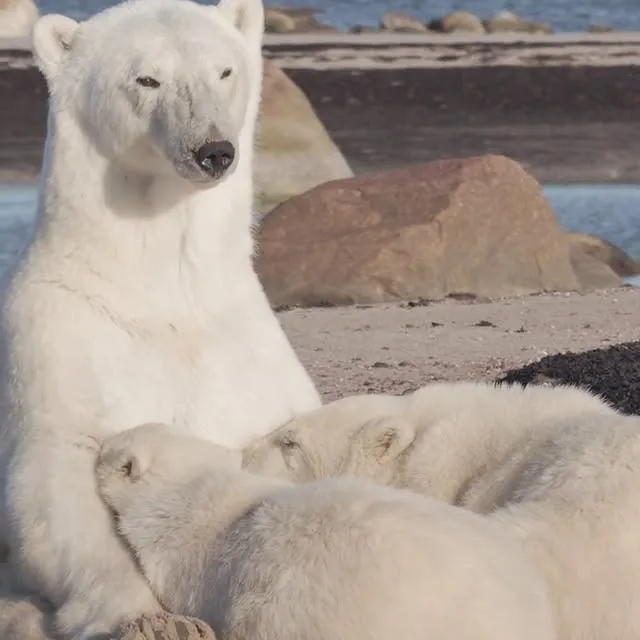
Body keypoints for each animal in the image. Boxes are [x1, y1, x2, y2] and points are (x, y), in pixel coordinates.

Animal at [0, 0, 321, 636]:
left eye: (224, 70)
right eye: (147, 79)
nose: (213, 150)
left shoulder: (245, 348)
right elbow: (54, 478)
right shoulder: (58, 339)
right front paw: (154, 619)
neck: (161, 285)